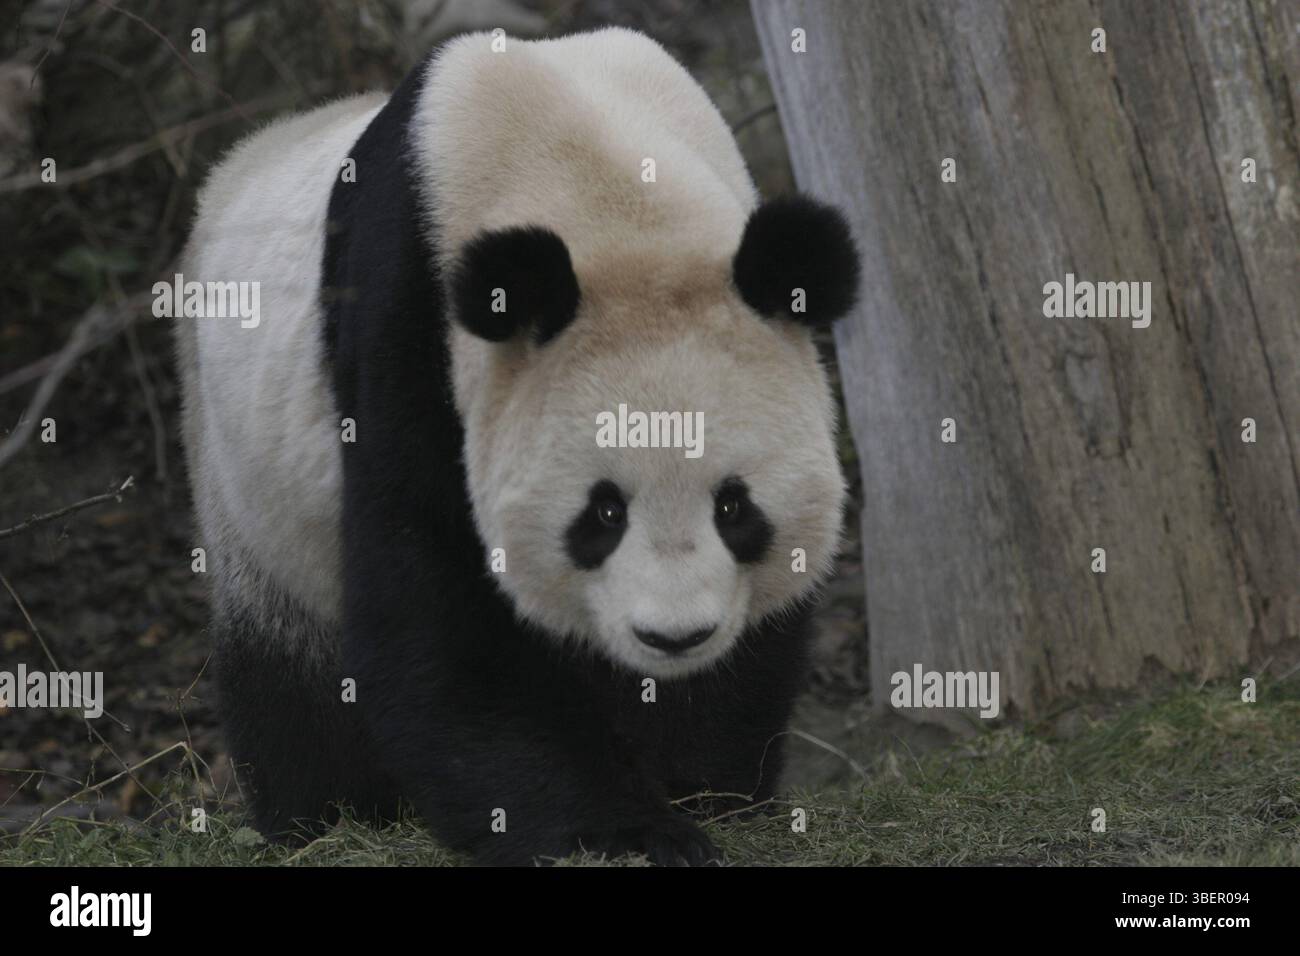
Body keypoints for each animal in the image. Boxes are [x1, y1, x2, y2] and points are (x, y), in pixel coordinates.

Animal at [175, 27, 859, 865]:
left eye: (735, 508)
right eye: (602, 514)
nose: (674, 637)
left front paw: (702, 784)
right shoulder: (409, 337)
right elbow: (438, 608)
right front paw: (627, 827)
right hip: (240, 477)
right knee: (287, 670)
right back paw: (324, 814)